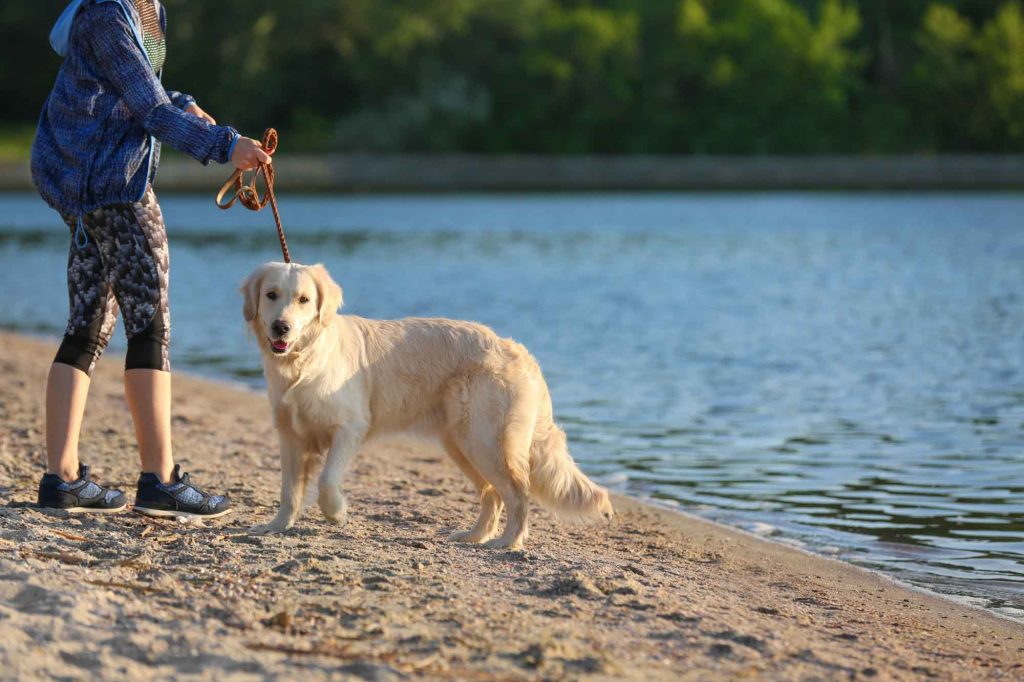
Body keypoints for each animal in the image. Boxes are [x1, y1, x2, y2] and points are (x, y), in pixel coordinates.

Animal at [240, 260, 614, 548]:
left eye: (304, 299)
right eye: (271, 294)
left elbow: (327, 480)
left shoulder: (350, 427)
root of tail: (517, 350)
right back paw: (473, 536)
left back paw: (507, 542)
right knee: (493, 494)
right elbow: (289, 491)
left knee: (518, 493)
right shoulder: (290, 435)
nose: (281, 327)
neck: (302, 362)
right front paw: (275, 526)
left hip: (485, 443)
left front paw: (336, 512)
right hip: (462, 445)